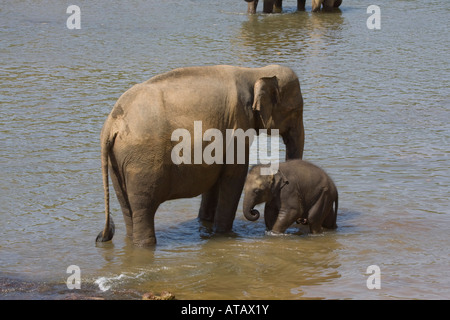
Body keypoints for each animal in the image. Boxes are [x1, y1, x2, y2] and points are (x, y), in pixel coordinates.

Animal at [96, 65, 304, 248]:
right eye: (295, 111)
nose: (255, 213)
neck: (254, 72)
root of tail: (111, 124)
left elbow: (215, 178)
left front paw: (205, 224)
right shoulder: (238, 123)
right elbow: (234, 176)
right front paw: (224, 234)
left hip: (117, 162)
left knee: (127, 207)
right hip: (141, 160)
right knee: (144, 208)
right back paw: (145, 246)